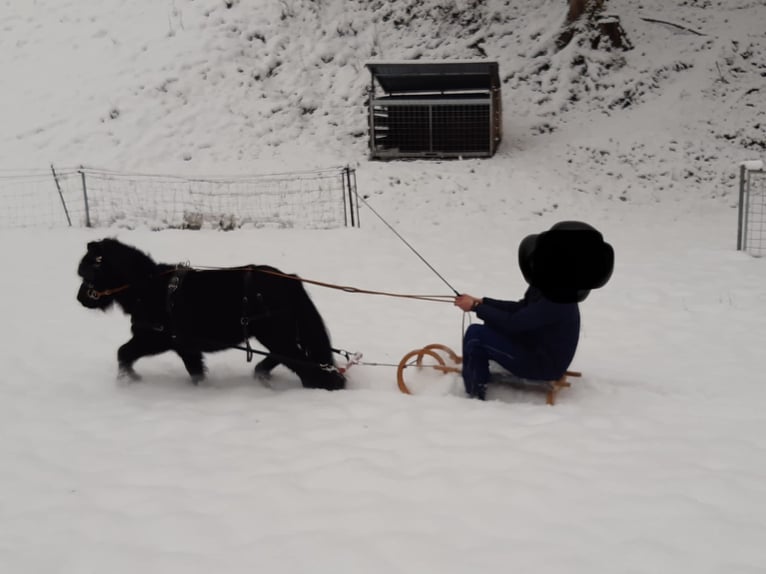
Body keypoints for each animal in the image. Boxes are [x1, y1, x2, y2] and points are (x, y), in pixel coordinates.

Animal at [76, 238, 346, 392]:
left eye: (87, 273)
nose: (80, 299)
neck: (150, 288)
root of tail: (290, 281)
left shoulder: (155, 339)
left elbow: (124, 352)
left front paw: (128, 380)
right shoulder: (183, 346)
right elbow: (193, 370)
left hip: (275, 334)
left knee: (296, 359)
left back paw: (321, 385)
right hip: (278, 334)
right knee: (283, 356)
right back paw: (263, 375)